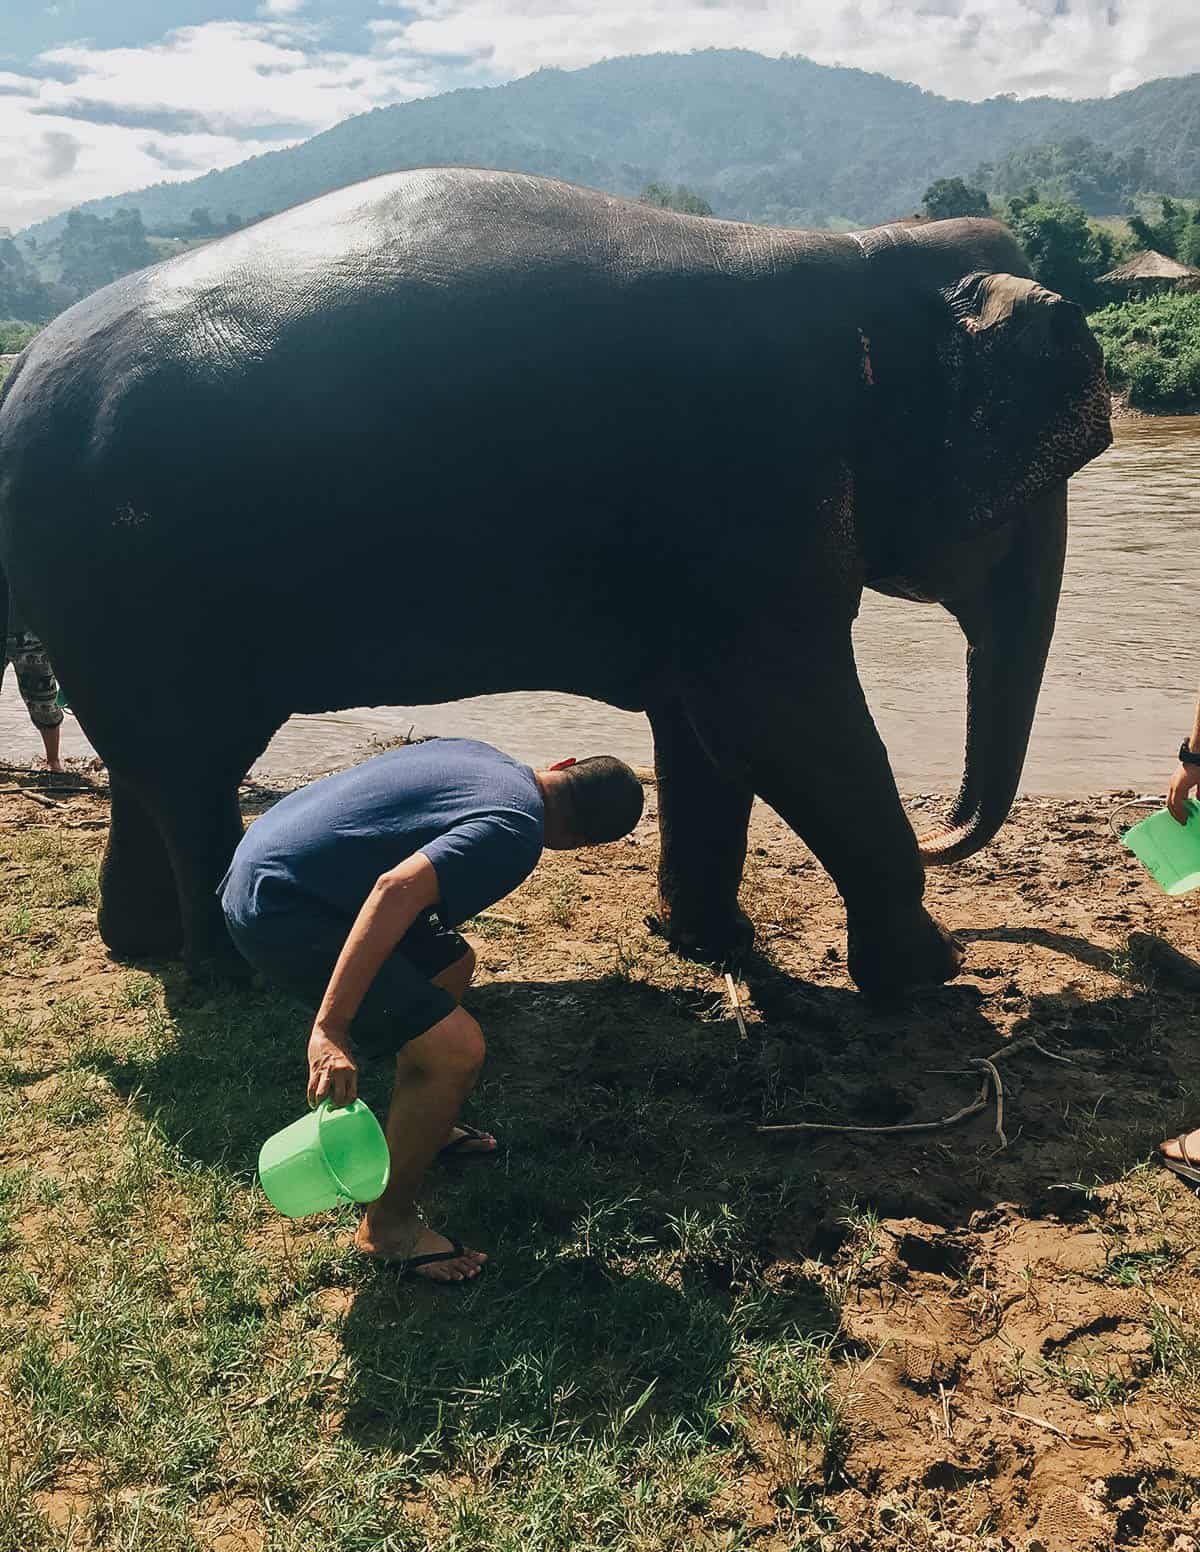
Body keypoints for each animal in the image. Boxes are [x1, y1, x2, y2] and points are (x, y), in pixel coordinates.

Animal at [0, 166, 1111, 993]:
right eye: (1039, 484)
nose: (947, 834)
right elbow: (781, 719)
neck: (864, 256)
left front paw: (708, 944)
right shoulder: (752, 483)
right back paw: (230, 979)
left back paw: (141, 949)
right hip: (138, 582)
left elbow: (708, 728)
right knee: (191, 771)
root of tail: (20, 371)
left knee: (148, 768)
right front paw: (933, 978)